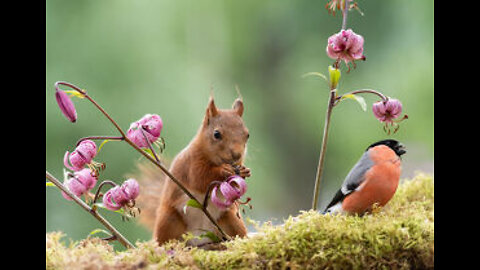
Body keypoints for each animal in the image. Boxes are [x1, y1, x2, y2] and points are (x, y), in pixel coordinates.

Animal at [133, 96, 249, 246]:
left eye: (247, 135)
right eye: (216, 134)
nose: (237, 155)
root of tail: (200, 239)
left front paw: (245, 172)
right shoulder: (191, 163)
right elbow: (200, 177)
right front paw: (224, 170)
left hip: (231, 220)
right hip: (169, 220)